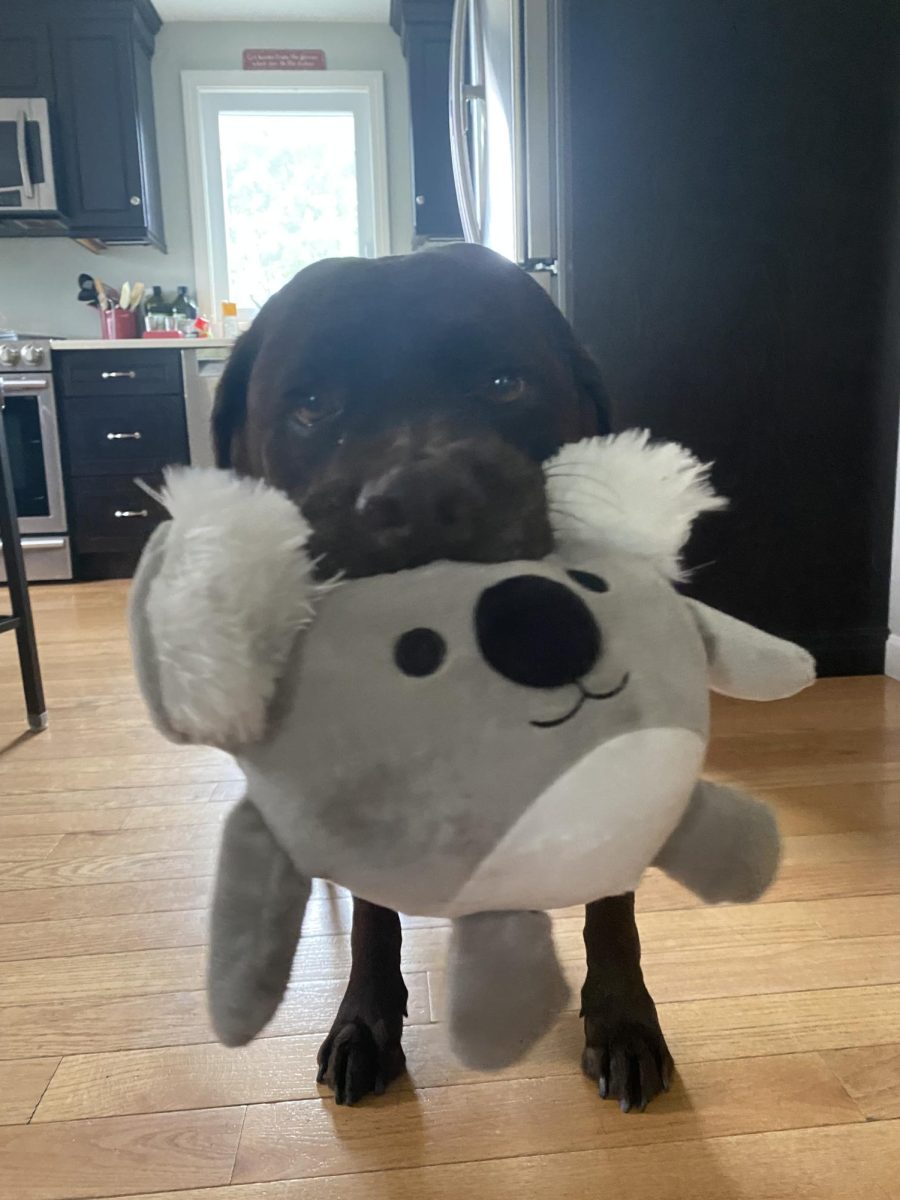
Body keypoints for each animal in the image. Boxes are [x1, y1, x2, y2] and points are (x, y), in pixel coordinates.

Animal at [214, 238, 672, 1108]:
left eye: (504, 383)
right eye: (312, 404)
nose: (422, 495)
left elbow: (614, 911)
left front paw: (625, 1021)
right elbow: (372, 921)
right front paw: (363, 1023)